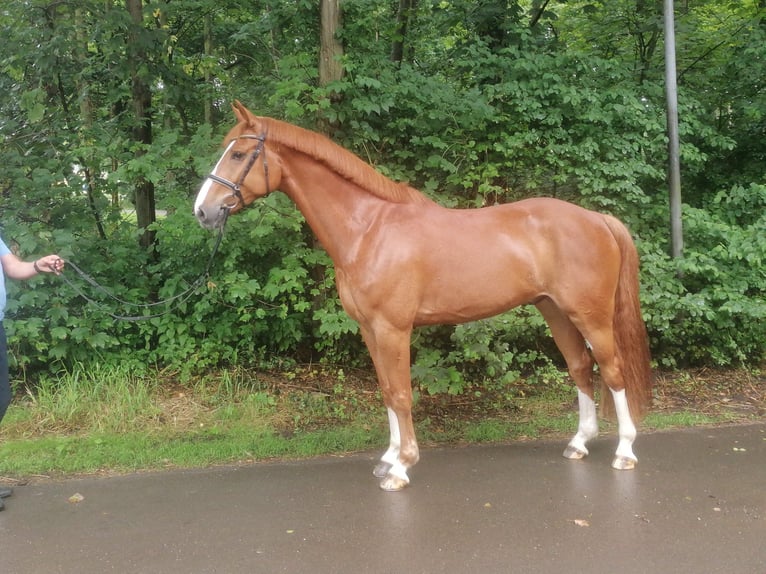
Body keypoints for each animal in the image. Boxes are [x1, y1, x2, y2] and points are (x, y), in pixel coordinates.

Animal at [195, 101, 652, 492]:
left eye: (238, 155)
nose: (203, 211)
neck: (369, 230)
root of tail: (597, 218)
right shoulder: (370, 330)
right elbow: (385, 390)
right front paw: (389, 457)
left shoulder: (393, 329)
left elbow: (401, 394)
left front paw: (402, 467)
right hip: (555, 310)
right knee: (580, 367)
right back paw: (579, 443)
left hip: (591, 315)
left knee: (613, 371)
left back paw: (626, 451)